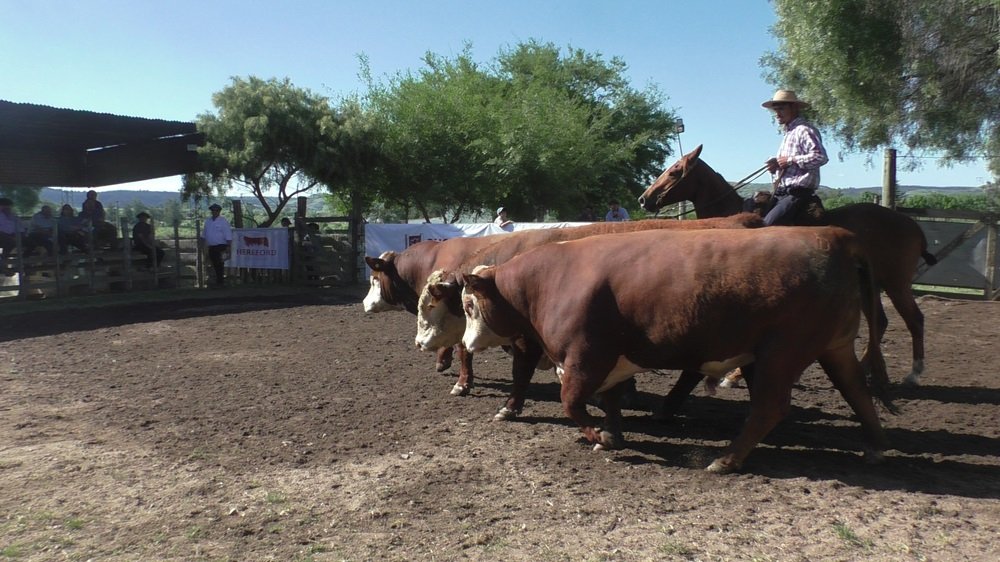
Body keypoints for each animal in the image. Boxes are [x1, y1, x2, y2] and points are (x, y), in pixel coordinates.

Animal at [458, 225, 892, 470]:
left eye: (469, 305)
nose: (465, 342)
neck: (549, 279)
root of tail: (836, 236)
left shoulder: (585, 358)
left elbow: (572, 402)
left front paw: (598, 437)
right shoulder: (612, 363)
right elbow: (609, 401)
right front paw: (611, 433)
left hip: (780, 353)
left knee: (770, 406)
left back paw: (726, 459)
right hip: (835, 347)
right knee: (857, 390)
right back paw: (873, 448)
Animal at [640, 143, 936, 384]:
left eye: (675, 171)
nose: (644, 199)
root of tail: (913, 226)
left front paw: (734, 375)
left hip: (897, 284)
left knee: (914, 319)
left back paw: (913, 374)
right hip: (870, 285)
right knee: (881, 321)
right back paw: (866, 370)